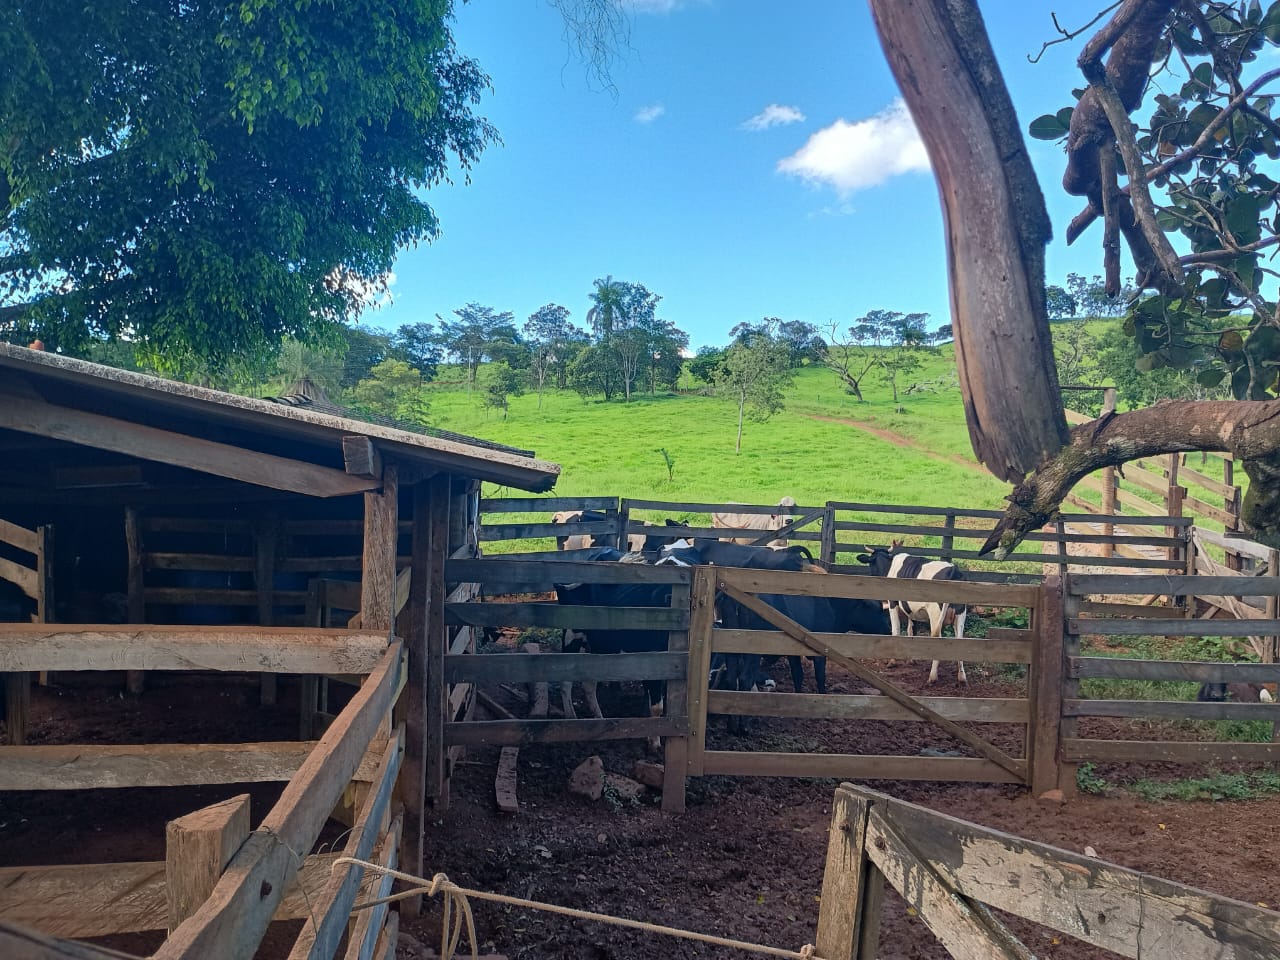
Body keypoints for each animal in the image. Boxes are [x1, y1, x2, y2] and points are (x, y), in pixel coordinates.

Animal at [860, 547, 967, 686]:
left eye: (870, 563)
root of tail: (953, 570)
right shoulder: (911, 610)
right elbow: (911, 630)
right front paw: (912, 660)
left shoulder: (893, 603)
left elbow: (896, 630)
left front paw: (892, 661)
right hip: (960, 614)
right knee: (960, 639)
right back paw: (962, 677)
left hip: (935, 614)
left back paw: (932, 677)